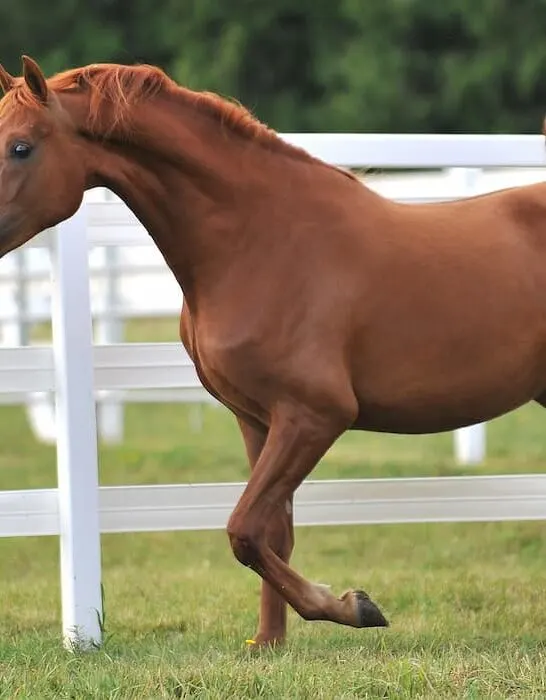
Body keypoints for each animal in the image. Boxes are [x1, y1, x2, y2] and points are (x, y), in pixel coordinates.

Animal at [1, 56, 544, 652]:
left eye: (21, 147)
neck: (260, 242)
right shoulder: (257, 418)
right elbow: (271, 533)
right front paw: (269, 643)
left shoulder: (315, 415)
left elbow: (243, 529)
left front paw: (352, 607)